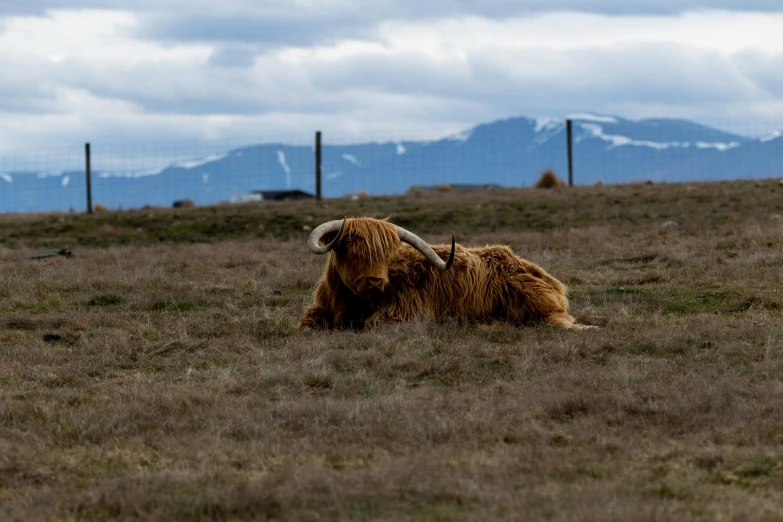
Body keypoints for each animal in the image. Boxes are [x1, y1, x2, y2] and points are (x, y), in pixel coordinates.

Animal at [300, 217, 596, 332]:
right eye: (349, 248)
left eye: (386, 254)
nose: (375, 280)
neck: (351, 302)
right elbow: (308, 323)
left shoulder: (404, 312)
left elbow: (373, 324)